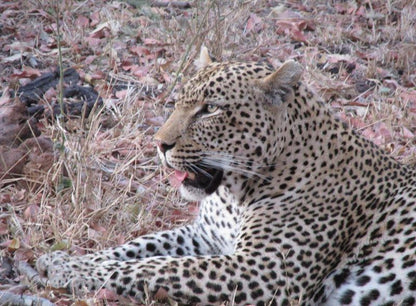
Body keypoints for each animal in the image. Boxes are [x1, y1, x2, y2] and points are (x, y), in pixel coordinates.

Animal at [36, 46, 416, 304]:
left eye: (210, 110)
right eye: (178, 103)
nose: (159, 144)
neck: (236, 194)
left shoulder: (263, 271)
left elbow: (159, 266)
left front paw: (71, 271)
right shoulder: (205, 236)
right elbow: (138, 247)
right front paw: (63, 259)